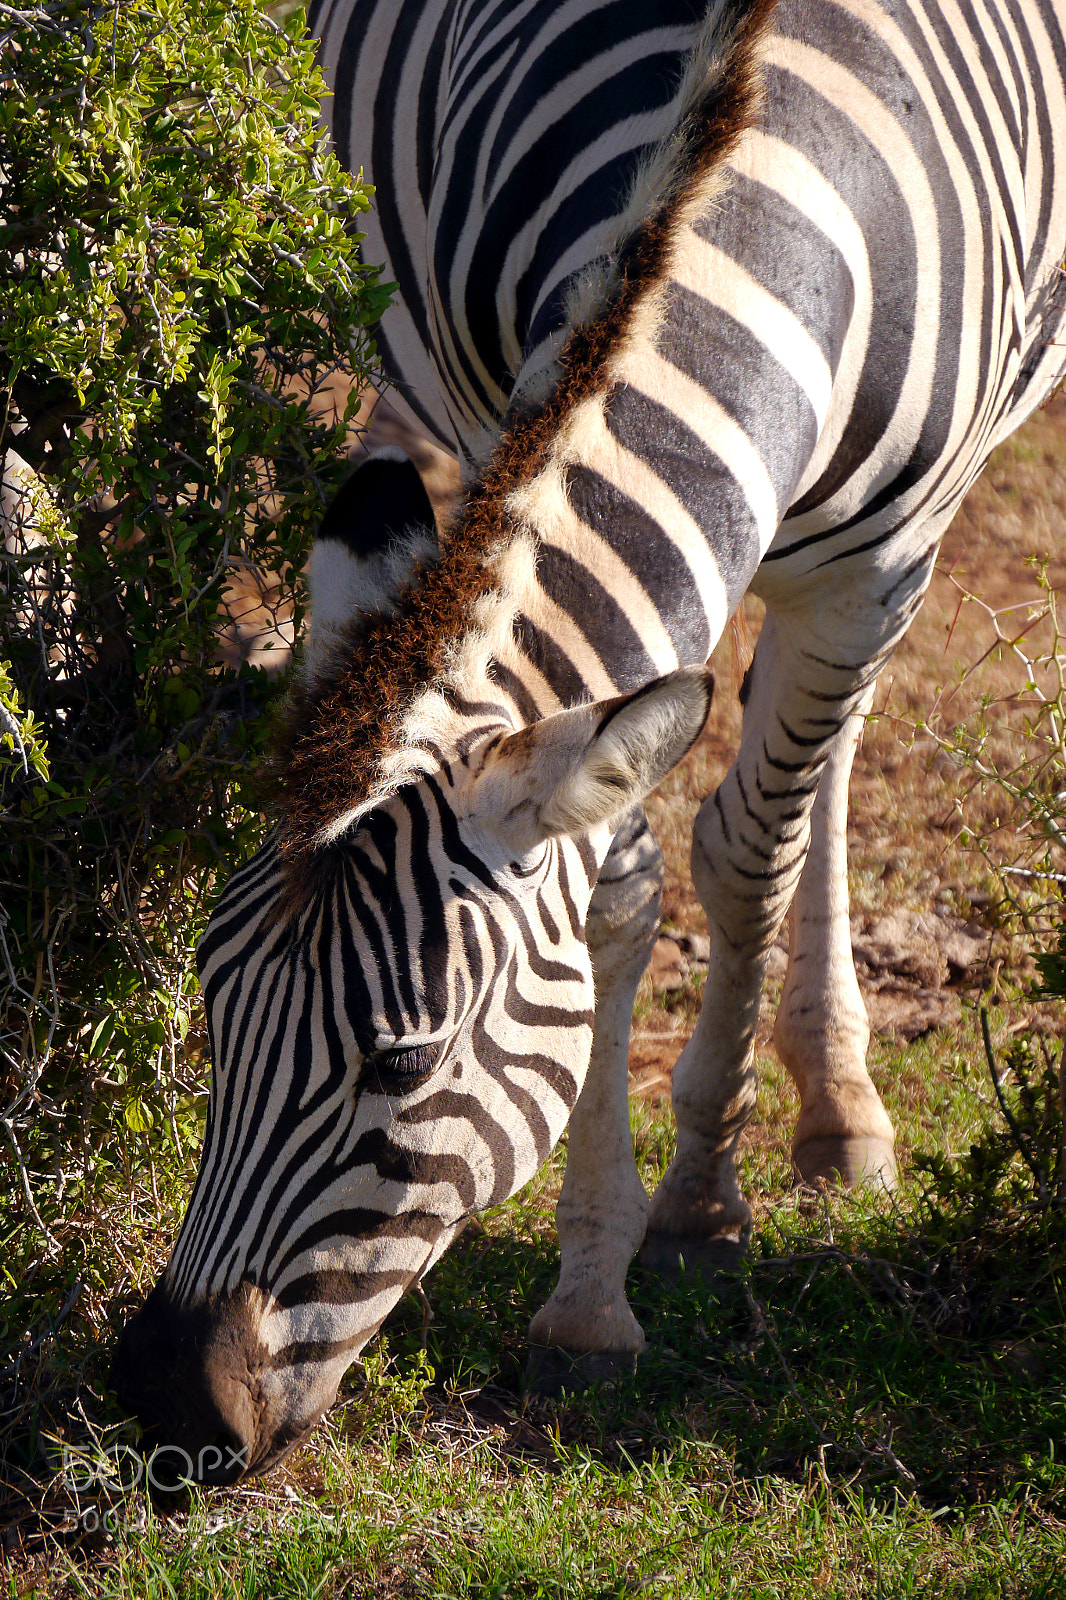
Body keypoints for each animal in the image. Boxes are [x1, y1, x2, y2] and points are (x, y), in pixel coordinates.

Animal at [115, 0, 1066, 1481]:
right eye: (210, 1010)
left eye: (400, 1062)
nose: (162, 1408)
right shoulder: (482, 410)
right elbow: (611, 889)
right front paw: (590, 1290)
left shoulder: (878, 571)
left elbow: (744, 853)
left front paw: (696, 1205)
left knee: (820, 769)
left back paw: (834, 1096)